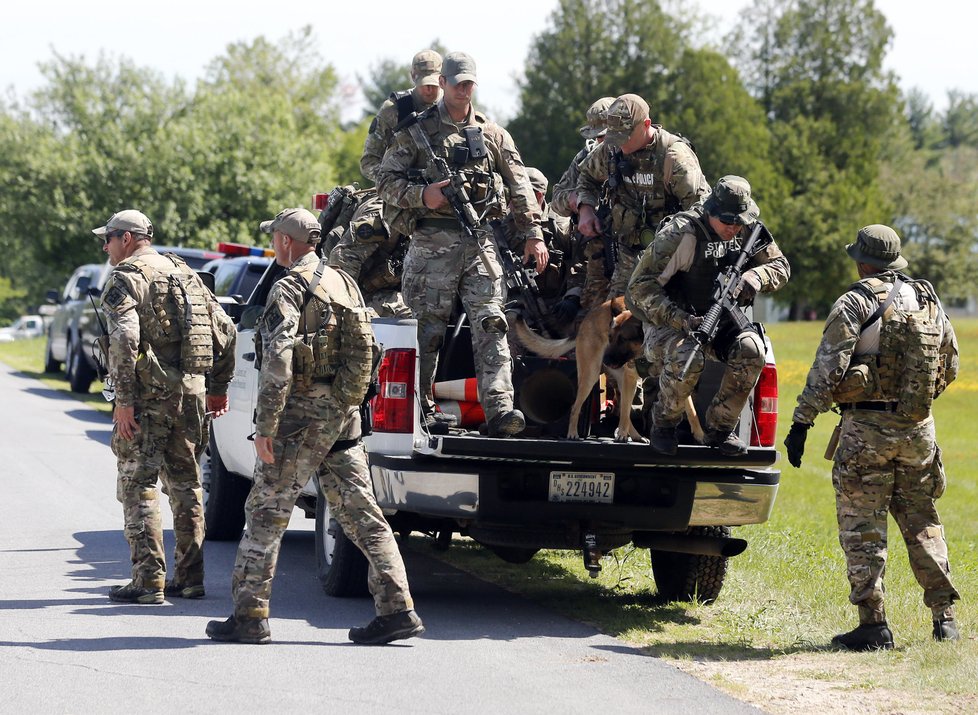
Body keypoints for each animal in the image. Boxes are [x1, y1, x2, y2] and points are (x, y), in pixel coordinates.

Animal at [510, 296, 648, 442]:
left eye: (623, 339)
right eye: (610, 337)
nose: (605, 359)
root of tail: (589, 315)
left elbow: (627, 412)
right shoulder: (629, 377)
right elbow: (626, 411)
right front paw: (622, 434)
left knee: (623, 410)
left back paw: (635, 436)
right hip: (590, 375)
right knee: (576, 407)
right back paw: (573, 434)